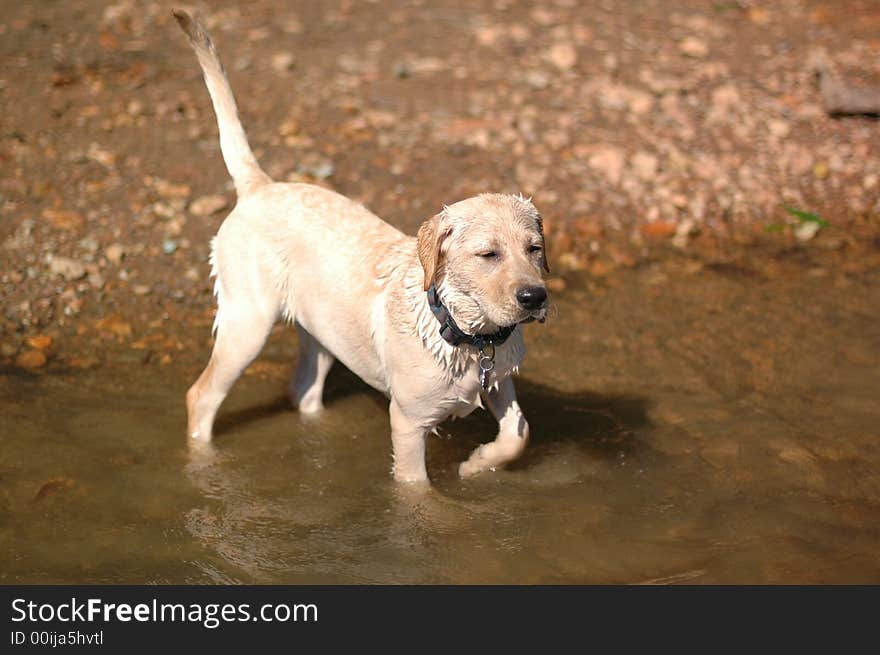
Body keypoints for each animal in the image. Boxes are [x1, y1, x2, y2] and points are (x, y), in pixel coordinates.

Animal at [174, 9, 552, 482]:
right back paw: (201, 461)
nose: (535, 297)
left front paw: (476, 464)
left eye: (534, 249)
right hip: (248, 323)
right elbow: (414, 488)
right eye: (488, 255)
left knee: (303, 391)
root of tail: (260, 186)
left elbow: (519, 433)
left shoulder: (500, 380)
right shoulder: (408, 422)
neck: (467, 337)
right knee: (200, 396)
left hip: (320, 332)